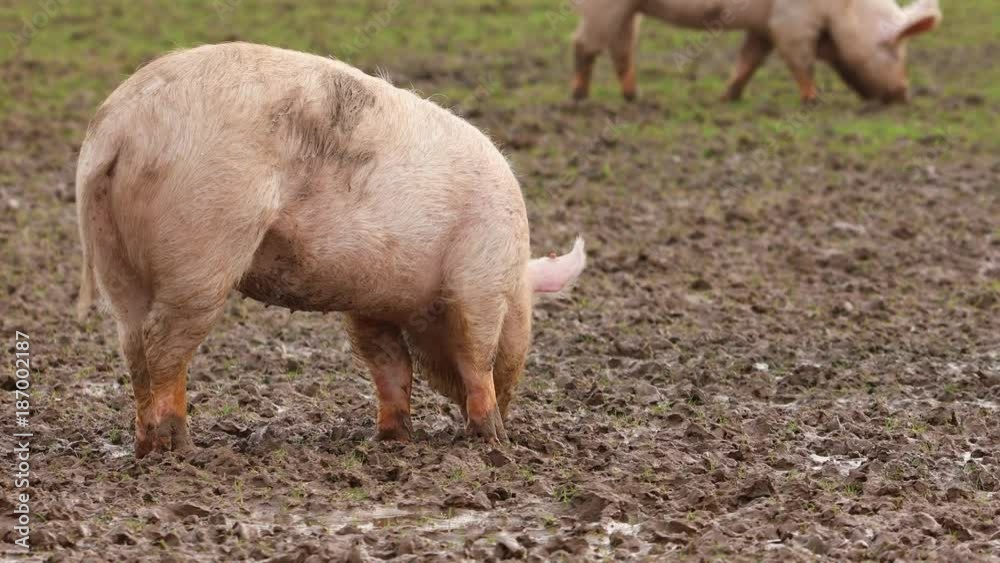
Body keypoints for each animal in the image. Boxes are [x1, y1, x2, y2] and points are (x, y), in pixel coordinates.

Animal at [75, 42, 586, 458]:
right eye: (528, 319)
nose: (512, 412)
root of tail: (117, 131)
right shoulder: (480, 278)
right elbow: (476, 355)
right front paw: (494, 441)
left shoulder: (371, 301)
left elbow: (390, 365)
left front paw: (393, 439)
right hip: (202, 244)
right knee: (163, 345)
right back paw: (183, 448)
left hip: (114, 256)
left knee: (133, 345)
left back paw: (147, 447)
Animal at [570, 0, 942, 104]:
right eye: (894, 50)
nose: (904, 95)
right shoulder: (791, 20)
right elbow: (799, 60)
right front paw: (811, 100)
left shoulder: (763, 28)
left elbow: (750, 59)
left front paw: (729, 96)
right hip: (604, 6)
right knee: (582, 44)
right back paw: (579, 96)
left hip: (627, 9)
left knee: (621, 48)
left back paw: (633, 96)